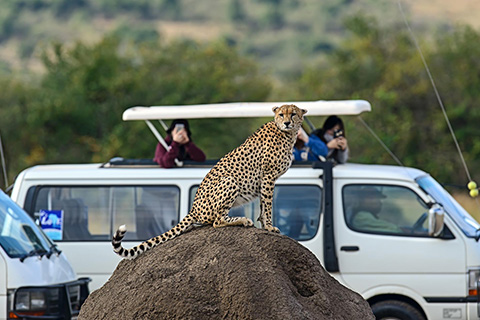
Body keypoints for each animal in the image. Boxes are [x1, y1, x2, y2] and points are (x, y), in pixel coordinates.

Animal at [112, 104, 308, 258]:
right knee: (216, 221)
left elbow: (262, 206)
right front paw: (269, 227)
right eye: (281, 114)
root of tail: (193, 208)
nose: (287, 122)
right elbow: (267, 206)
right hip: (230, 181)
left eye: (293, 114)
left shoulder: (264, 180)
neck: (286, 133)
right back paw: (242, 220)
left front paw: (264, 225)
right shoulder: (268, 177)